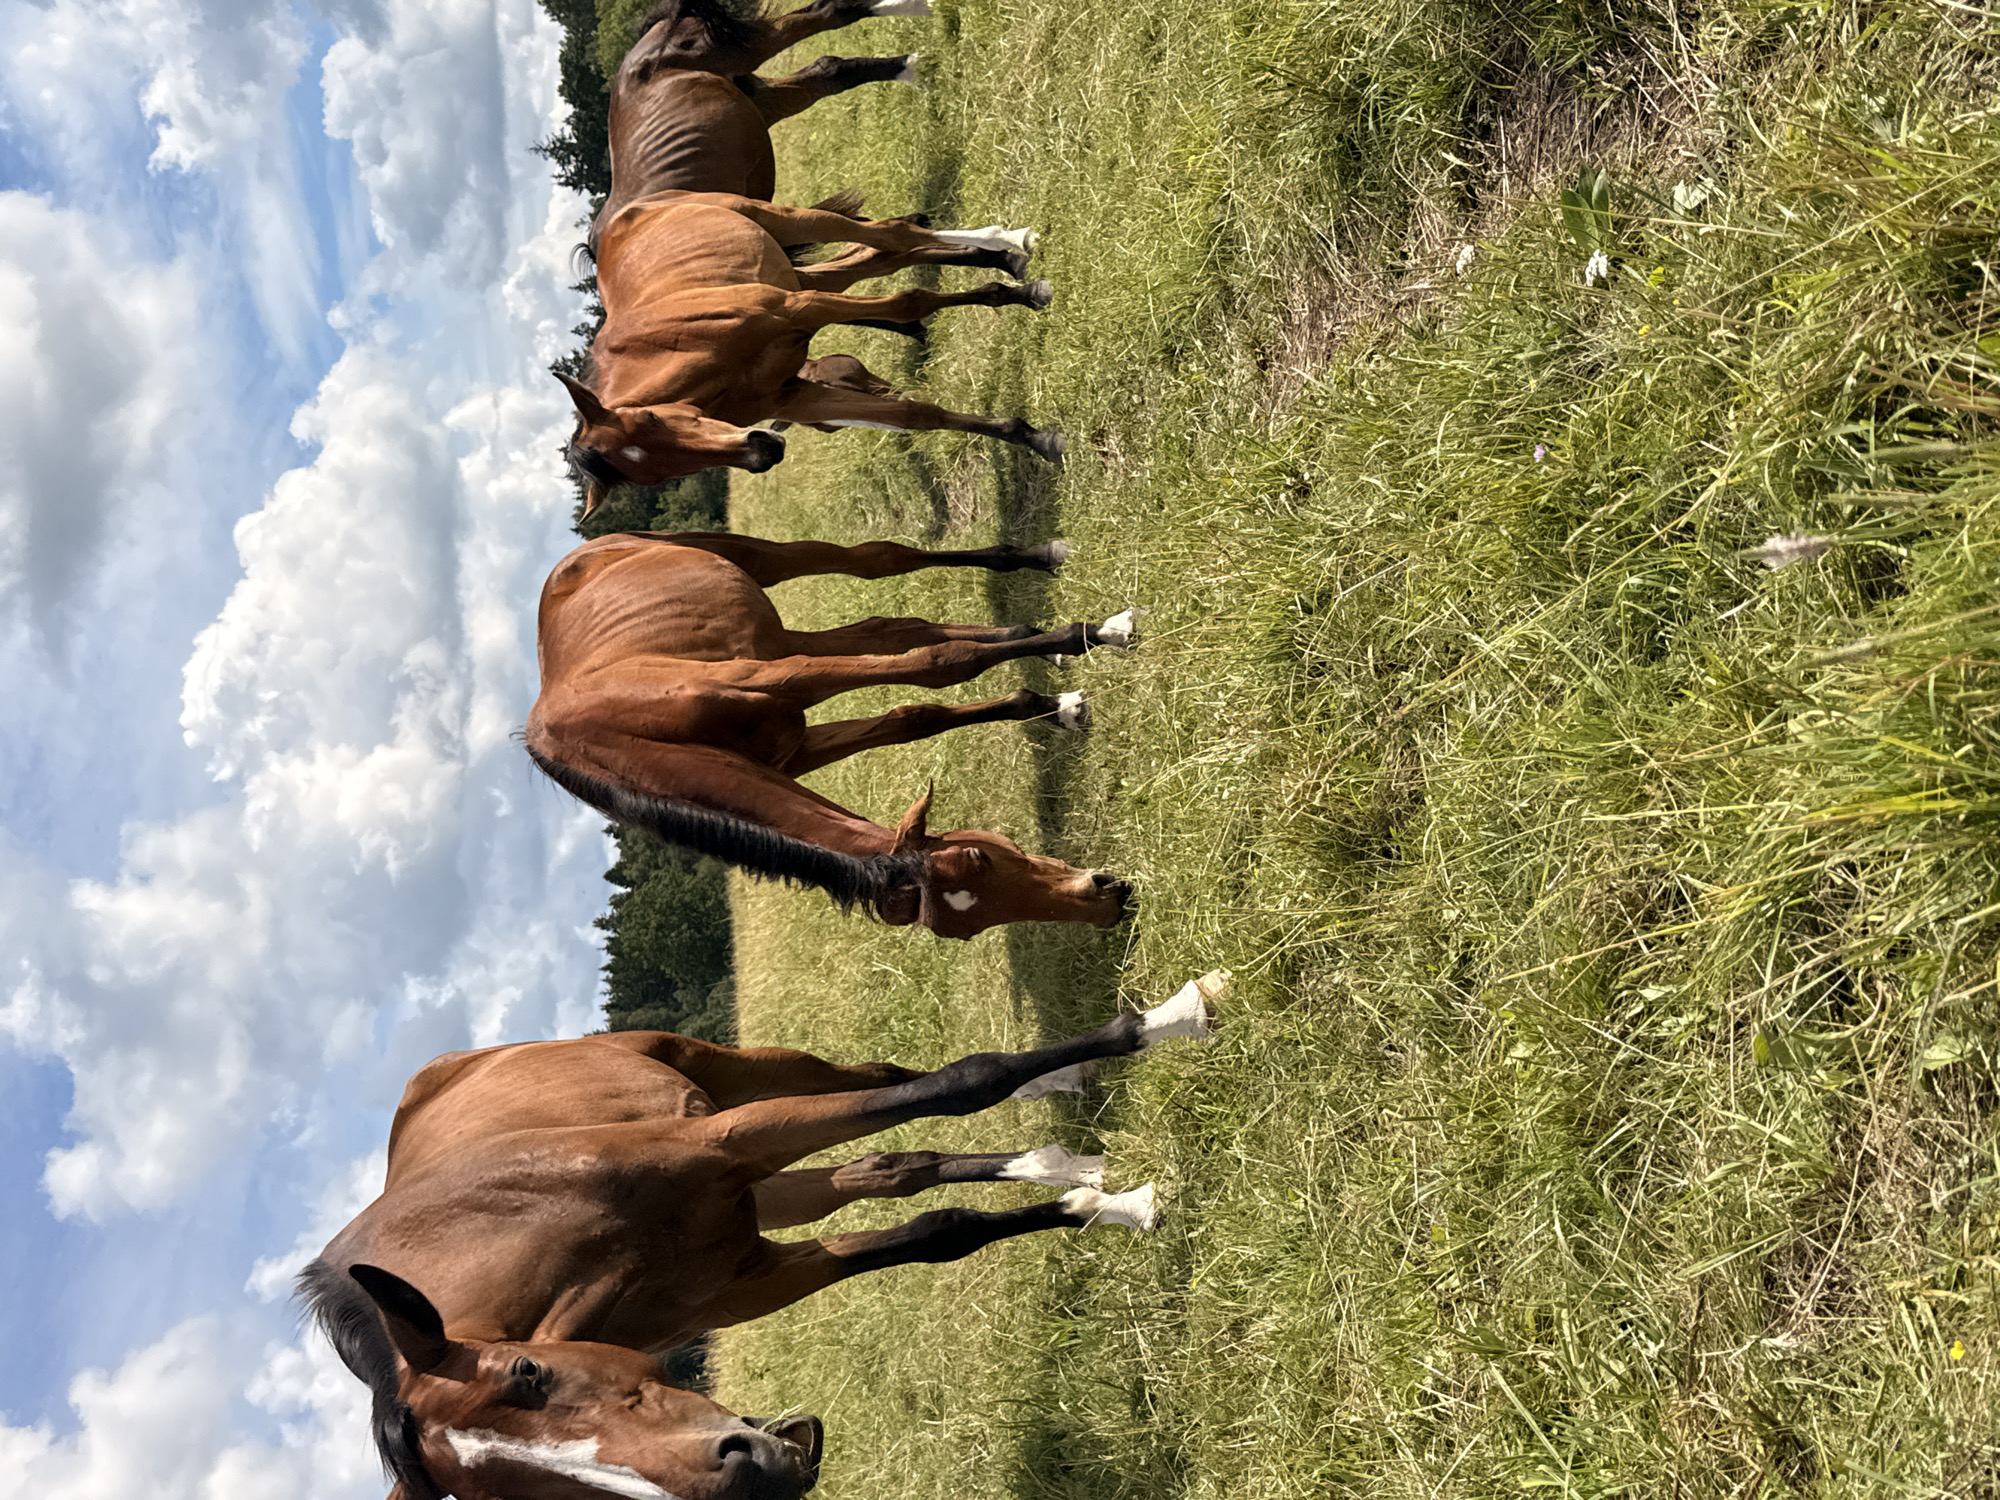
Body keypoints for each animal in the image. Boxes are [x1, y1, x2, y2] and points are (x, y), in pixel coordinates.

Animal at [300, 972, 1225, 1500]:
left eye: (531, 1374)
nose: (749, 1472)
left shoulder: (730, 1143)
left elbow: (965, 1082)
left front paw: (1168, 1021)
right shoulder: (763, 1271)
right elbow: (938, 1231)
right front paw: (1109, 1205)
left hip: (729, 1078)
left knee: (890, 1080)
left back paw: (1084, 1072)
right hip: (773, 1200)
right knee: (891, 1168)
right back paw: (1062, 1164)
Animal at [524, 530, 1139, 939]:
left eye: (980, 857)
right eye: (963, 926)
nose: (1105, 901)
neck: (628, 734)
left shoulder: (780, 677)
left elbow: (939, 664)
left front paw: (1093, 634)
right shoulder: (792, 748)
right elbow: (915, 715)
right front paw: (1050, 702)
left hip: (758, 572)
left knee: (878, 562)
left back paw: (1048, 572)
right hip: (780, 638)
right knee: (891, 630)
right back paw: (1038, 643)